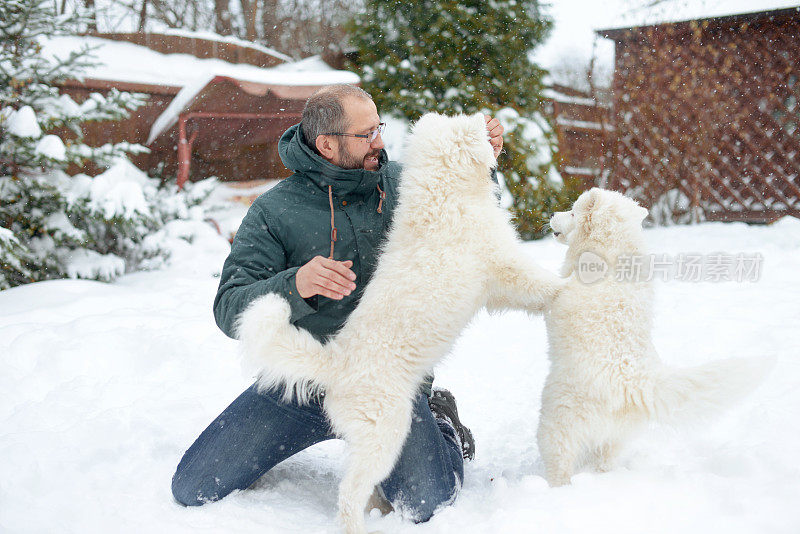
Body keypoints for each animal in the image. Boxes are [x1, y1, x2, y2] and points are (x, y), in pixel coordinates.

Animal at [536, 188, 776, 490]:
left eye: (571, 212)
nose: (551, 214)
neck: (610, 255)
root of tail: (638, 384)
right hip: (615, 437)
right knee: (605, 462)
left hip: (556, 421)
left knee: (560, 462)